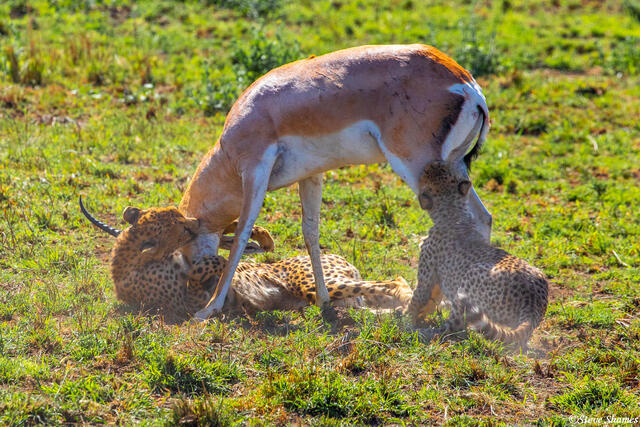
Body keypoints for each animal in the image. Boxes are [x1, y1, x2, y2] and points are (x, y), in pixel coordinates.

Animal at [79, 198, 412, 322]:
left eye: (176, 212)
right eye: (178, 226)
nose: (194, 223)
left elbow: (229, 244)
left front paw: (258, 238)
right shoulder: (193, 294)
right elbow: (206, 266)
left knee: (382, 288)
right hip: (319, 288)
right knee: (389, 284)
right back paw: (408, 300)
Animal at [406, 162, 548, 349]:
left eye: (426, 174)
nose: (431, 164)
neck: (453, 211)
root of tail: (533, 303)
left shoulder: (426, 276)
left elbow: (417, 297)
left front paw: (401, 318)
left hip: (471, 277)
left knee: (455, 326)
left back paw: (426, 333)